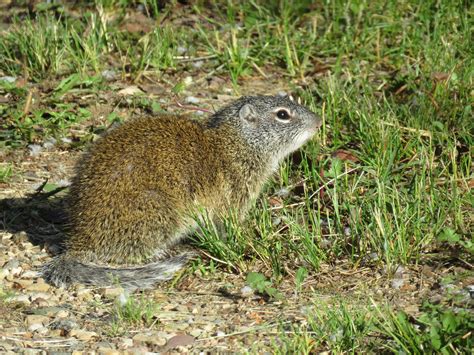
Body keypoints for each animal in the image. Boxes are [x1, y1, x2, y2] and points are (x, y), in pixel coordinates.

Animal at [42, 94, 322, 290]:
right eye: (283, 114)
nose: (318, 121)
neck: (235, 144)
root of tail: (78, 243)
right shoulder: (230, 202)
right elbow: (226, 230)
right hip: (160, 213)